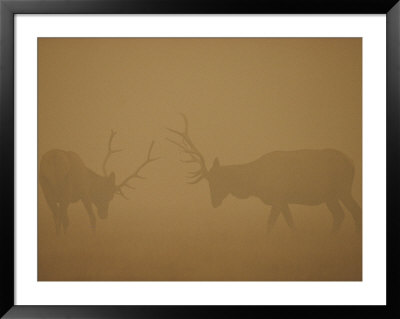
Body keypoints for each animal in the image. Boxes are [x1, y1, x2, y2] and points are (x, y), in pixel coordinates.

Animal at [167, 114, 360, 232]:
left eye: (216, 180)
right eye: (209, 181)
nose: (214, 202)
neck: (254, 183)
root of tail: (352, 163)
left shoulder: (278, 197)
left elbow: (271, 224)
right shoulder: (283, 200)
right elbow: (291, 224)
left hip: (343, 189)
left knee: (354, 210)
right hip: (330, 195)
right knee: (339, 215)